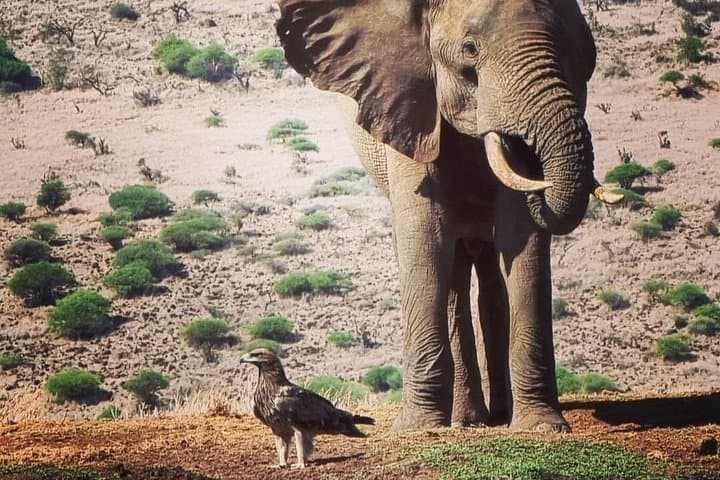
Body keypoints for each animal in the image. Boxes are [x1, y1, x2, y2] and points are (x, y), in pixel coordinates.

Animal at [275, 0, 621, 432]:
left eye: (583, 55)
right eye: (469, 50)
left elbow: (520, 236)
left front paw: (543, 427)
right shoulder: (409, 106)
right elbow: (426, 233)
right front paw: (419, 428)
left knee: (490, 277)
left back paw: (498, 415)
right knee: (453, 270)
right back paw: (465, 420)